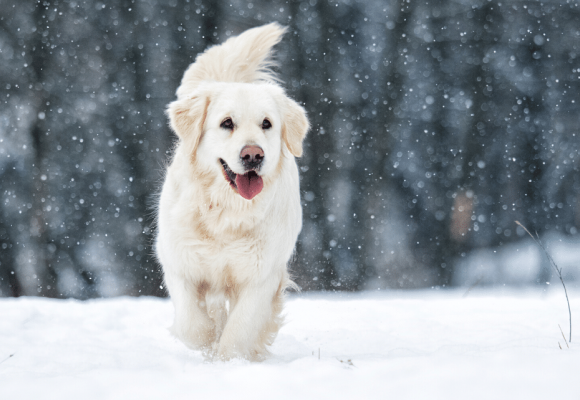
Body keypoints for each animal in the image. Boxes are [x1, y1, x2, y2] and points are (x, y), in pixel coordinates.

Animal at [154, 21, 308, 360]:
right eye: (227, 123)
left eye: (266, 124)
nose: (253, 155)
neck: (226, 211)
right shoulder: (181, 263)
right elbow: (193, 325)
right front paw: (207, 349)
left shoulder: (261, 276)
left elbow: (239, 331)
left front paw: (229, 359)